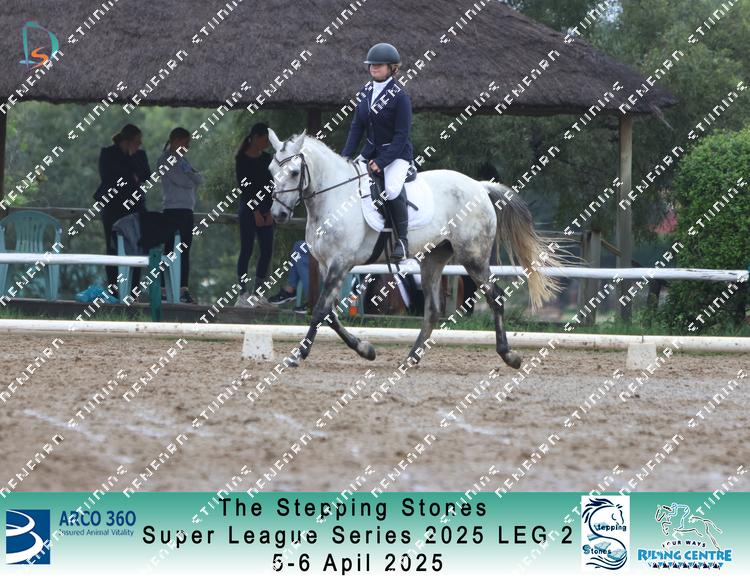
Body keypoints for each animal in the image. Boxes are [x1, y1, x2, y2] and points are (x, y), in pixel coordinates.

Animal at [267, 128, 564, 369]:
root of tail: (479, 187)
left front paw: (297, 356)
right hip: (433, 258)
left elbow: (319, 311)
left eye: (294, 172)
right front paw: (366, 349)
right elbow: (328, 313)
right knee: (432, 310)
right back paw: (411, 357)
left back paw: (509, 356)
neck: (334, 198)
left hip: (473, 258)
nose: (278, 215)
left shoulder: (340, 263)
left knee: (496, 298)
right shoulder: (327, 264)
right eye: (271, 170)